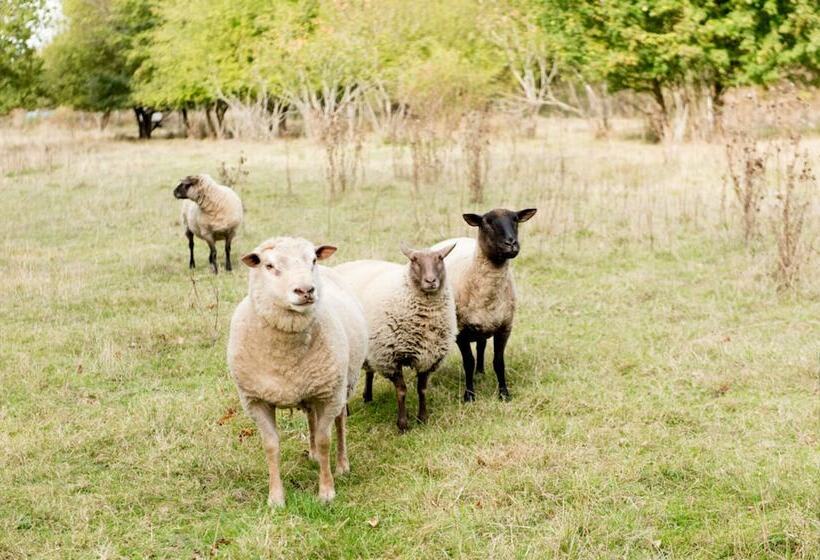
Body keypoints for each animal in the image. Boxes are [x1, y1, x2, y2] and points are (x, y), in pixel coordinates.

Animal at [224, 234, 366, 506]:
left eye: (313, 260)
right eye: (269, 266)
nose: (306, 290)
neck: (285, 359)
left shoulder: (328, 394)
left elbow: (324, 440)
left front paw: (326, 491)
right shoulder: (255, 400)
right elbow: (271, 445)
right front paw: (276, 498)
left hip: (340, 385)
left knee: (340, 422)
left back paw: (342, 464)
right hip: (310, 388)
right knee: (311, 417)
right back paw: (312, 454)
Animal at [334, 243, 462, 430]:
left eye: (440, 258)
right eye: (414, 260)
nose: (431, 281)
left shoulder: (429, 357)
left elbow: (422, 389)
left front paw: (423, 419)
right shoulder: (390, 357)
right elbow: (401, 391)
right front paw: (403, 424)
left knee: (369, 370)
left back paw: (368, 396)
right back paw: (347, 411)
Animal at [432, 208, 536, 400]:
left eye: (516, 219)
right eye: (486, 222)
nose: (511, 243)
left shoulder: (504, 327)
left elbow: (498, 362)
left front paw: (504, 394)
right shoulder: (461, 332)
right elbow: (468, 362)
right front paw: (469, 396)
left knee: (481, 346)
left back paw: (480, 372)